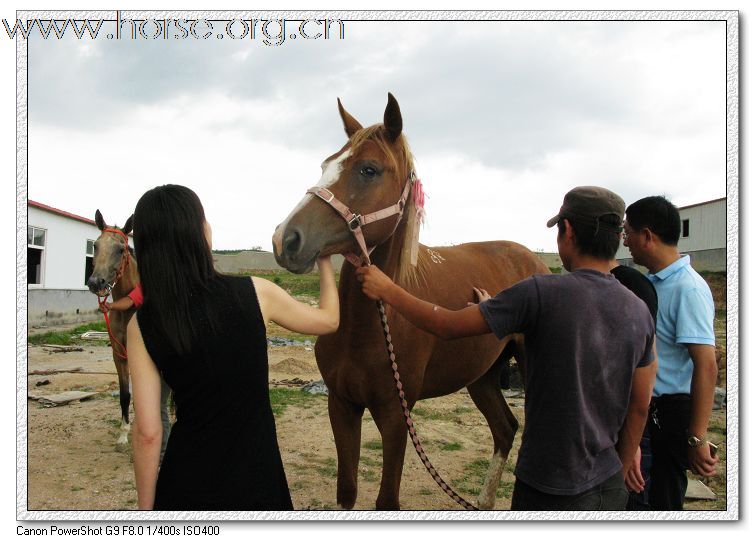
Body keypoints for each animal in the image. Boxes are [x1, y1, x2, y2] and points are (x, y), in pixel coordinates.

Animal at [274, 94, 548, 510]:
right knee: (504, 428)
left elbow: (387, 499)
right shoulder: (341, 406)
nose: (285, 238)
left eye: (368, 169)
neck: (369, 326)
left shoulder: (395, 414)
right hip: (482, 376)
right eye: (325, 164)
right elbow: (347, 492)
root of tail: (533, 259)